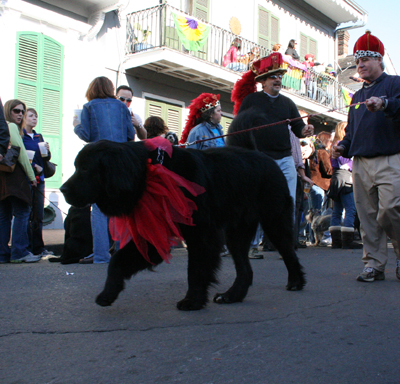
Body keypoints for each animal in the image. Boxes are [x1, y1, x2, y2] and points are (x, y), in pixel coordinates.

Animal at [59, 140, 304, 310]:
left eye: (85, 169)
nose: (62, 189)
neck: (150, 173)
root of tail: (272, 162)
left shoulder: (201, 234)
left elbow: (195, 270)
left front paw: (192, 300)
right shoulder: (154, 234)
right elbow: (118, 260)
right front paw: (108, 293)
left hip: (274, 221)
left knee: (289, 254)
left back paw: (296, 282)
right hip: (237, 233)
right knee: (245, 269)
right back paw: (231, 295)